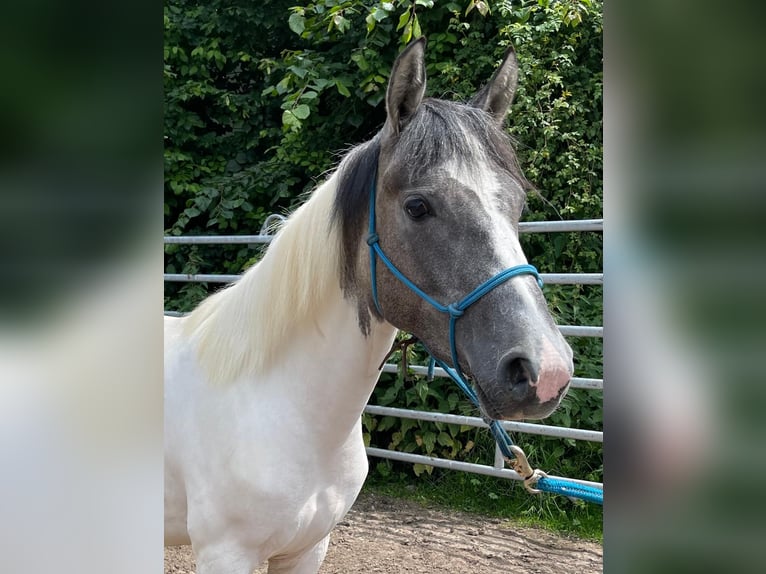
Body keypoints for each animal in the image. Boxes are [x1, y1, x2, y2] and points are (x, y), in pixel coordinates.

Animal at [168, 38, 576, 572]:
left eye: (517, 206)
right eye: (418, 206)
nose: (546, 370)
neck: (278, 403)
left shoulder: (307, 550)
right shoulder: (224, 554)